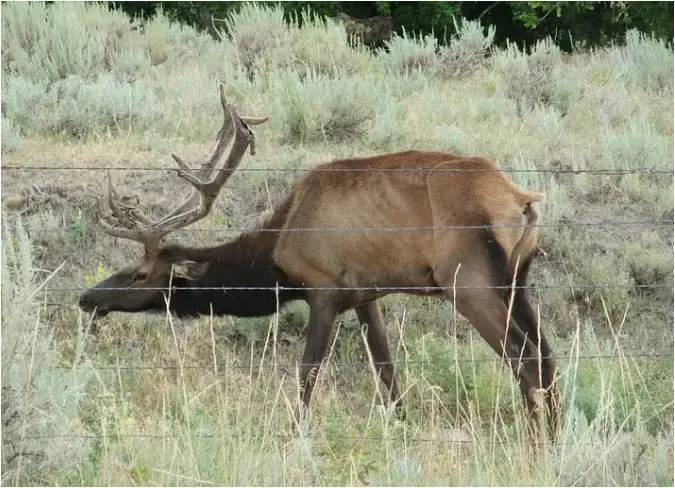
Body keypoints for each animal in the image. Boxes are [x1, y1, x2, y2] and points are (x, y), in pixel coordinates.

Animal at [78, 83, 562, 442]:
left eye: (140, 273)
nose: (87, 298)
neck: (277, 256)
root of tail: (523, 200)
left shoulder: (324, 288)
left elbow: (307, 371)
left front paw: (297, 433)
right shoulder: (367, 294)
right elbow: (386, 368)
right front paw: (402, 427)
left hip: (469, 281)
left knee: (523, 356)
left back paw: (535, 442)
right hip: (517, 280)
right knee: (547, 354)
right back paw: (554, 436)